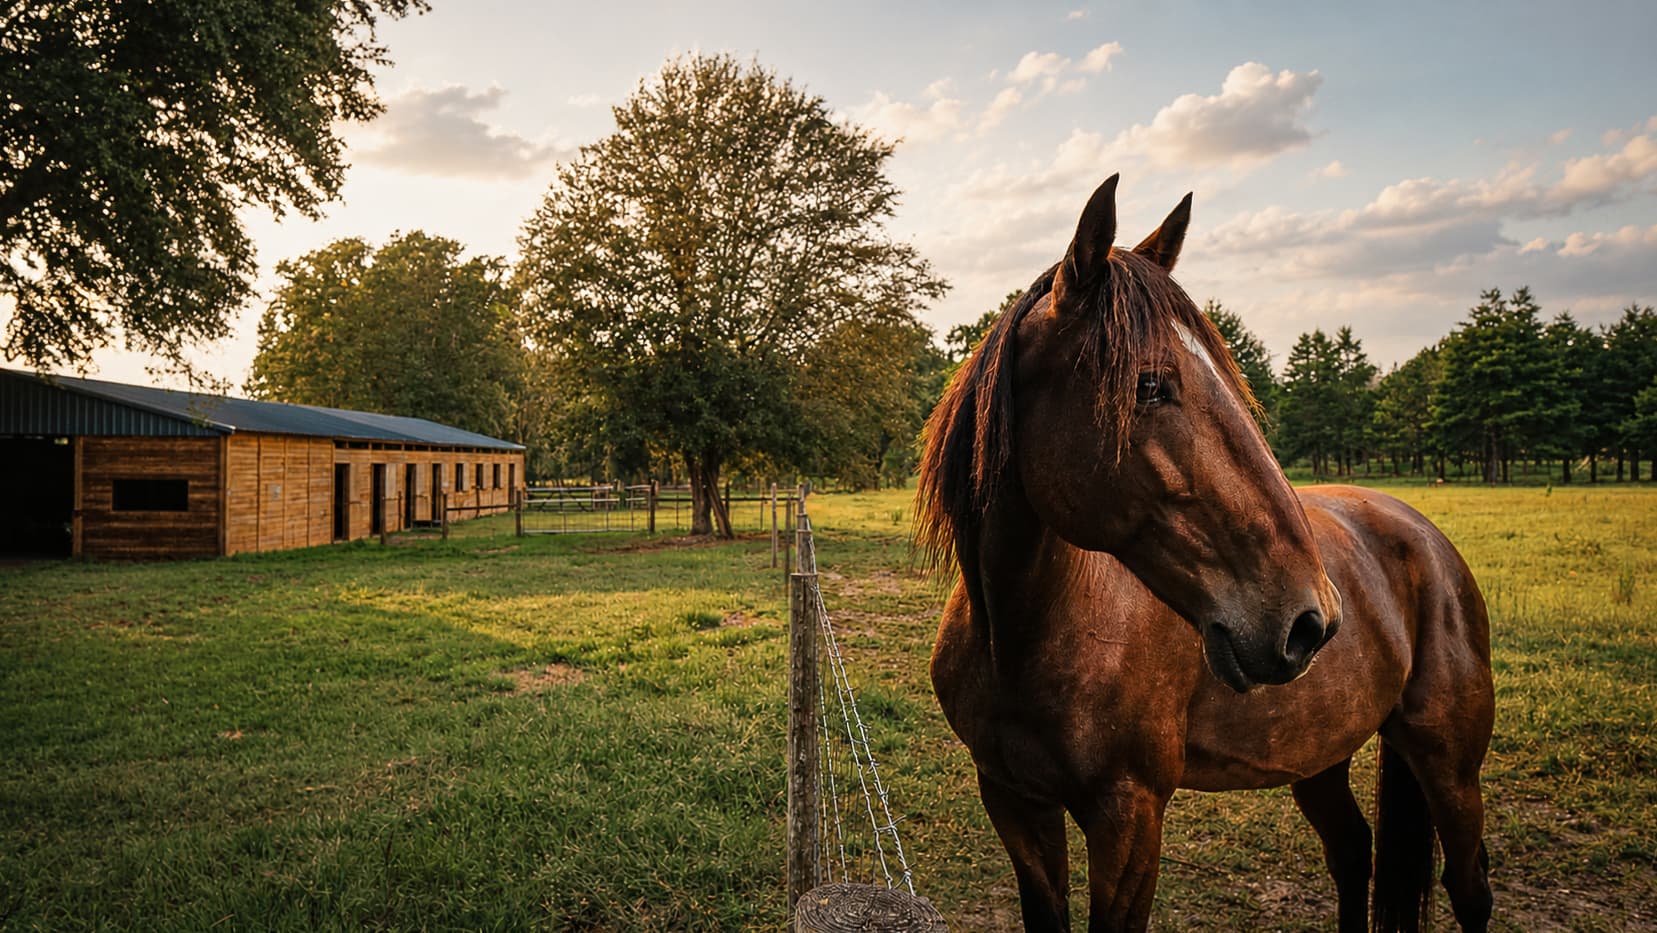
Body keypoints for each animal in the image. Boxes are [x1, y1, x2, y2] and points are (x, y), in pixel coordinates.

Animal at [915, 175, 1493, 932]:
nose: (1309, 620)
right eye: (1150, 385)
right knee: (1352, 852)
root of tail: (1426, 536)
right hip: (1320, 755)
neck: (1023, 635)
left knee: (1469, 888)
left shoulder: (1130, 818)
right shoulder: (1014, 804)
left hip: (1448, 765)